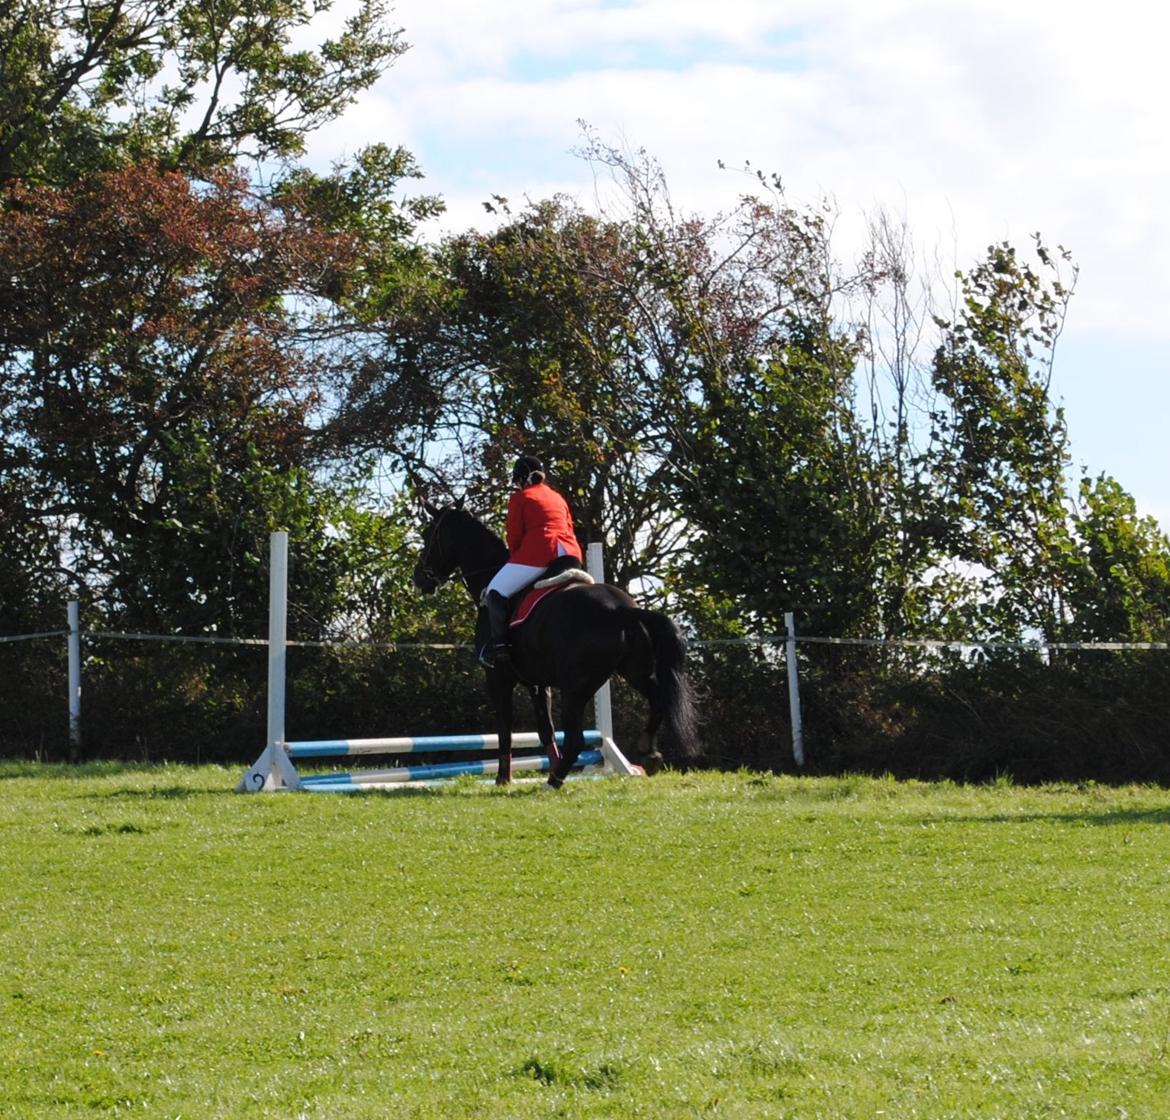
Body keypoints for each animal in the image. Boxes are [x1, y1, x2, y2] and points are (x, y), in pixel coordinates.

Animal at [416, 498, 697, 786]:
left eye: (427, 535)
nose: (419, 578)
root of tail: (623, 610)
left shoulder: (498, 677)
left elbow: (505, 729)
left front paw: (503, 778)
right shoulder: (538, 682)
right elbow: (545, 730)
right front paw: (547, 765)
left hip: (576, 687)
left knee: (576, 739)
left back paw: (555, 780)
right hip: (635, 673)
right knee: (658, 701)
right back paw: (647, 753)